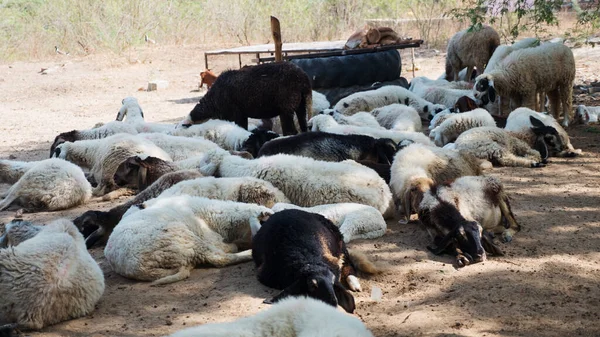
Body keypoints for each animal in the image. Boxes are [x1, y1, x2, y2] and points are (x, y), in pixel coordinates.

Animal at [179, 62, 312, 136]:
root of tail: (303, 78)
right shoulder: (241, 115)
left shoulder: (235, 114)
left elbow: (241, 129)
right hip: (301, 104)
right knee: (304, 126)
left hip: (287, 107)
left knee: (292, 131)